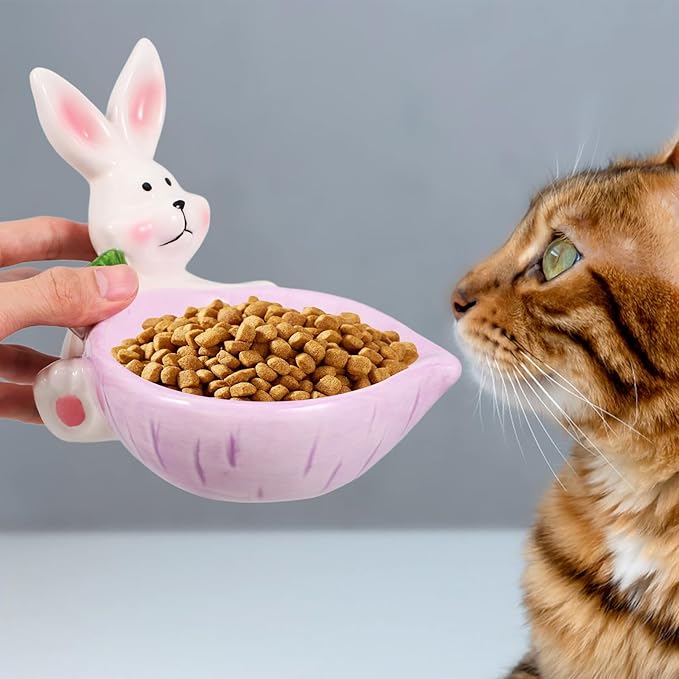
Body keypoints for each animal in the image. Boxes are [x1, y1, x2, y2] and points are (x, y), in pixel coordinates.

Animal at [30, 38, 274, 441]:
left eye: (169, 182)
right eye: (145, 188)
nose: (180, 203)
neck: (161, 274)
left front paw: (261, 285)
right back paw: (66, 399)